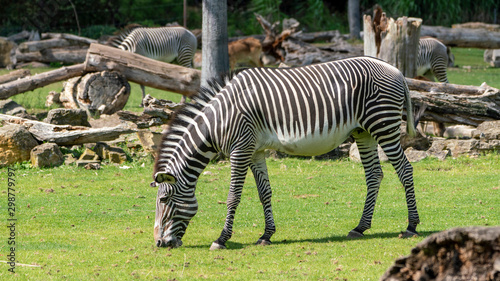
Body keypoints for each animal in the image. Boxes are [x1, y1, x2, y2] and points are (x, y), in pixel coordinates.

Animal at [150, 55, 420, 248]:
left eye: (163, 200)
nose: (160, 243)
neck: (219, 120)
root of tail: (396, 70)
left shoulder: (240, 149)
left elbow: (233, 196)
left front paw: (222, 239)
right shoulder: (255, 151)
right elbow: (264, 192)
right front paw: (266, 235)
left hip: (383, 125)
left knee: (405, 170)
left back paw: (411, 226)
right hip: (364, 132)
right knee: (374, 175)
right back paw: (360, 227)